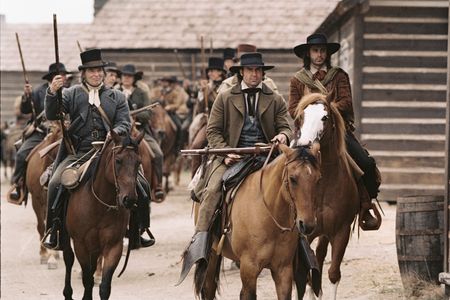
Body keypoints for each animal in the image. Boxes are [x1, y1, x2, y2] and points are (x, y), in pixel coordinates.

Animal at [61, 131, 144, 300]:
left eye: (138, 162)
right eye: (118, 161)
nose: (130, 199)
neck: (99, 204)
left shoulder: (114, 245)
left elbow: (105, 287)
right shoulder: (80, 244)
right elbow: (87, 279)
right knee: (68, 258)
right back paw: (68, 293)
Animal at [195, 143, 322, 300]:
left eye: (318, 179)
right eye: (293, 179)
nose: (308, 224)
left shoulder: (283, 269)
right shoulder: (249, 268)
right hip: (212, 253)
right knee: (208, 287)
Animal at [292, 92, 362, 298]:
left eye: (324, 117)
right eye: (301, 116)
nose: (305, 145)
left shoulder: (341, 231)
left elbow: (333, 274)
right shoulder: (304, 233)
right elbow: (304, 277)